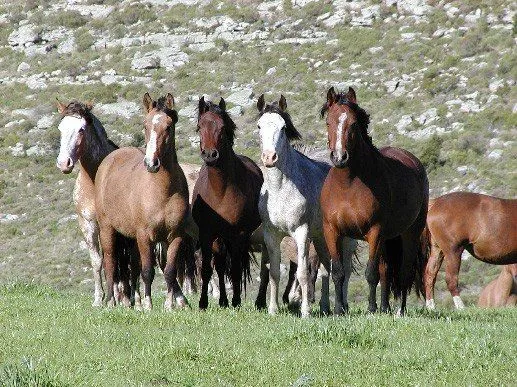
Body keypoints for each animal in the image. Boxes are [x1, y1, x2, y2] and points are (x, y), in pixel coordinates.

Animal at [94, 94, 191, 312]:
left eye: (169, 126)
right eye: (145, 125)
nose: (151, 163)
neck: (162, 191)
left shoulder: (175, 236)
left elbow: (169, 271)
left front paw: (168, 306)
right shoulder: (145, 236)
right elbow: (148, 271)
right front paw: (148, 305)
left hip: (131, 239)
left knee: (133, 268)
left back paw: (133, 303)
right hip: (107, 229)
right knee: (110, 263)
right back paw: (111, 301)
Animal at [256, 94, 356, 318]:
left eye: (283, 127)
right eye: (259, 126)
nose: (269, 157)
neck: (281, 190)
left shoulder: (301, 233)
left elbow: (302, 272)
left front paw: (305, 312)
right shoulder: (271, 234)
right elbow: (274, 271)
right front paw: (273, 310)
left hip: (344, 238)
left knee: (343, 270)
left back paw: (342, 307)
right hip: (321, 237)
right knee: (327, 270)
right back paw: (326, 307)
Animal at [318, 88, 428, 316]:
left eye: (353, 123)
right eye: (329, 122)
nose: (339, 157)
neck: (348, 185)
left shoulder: (374, 232)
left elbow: (371, 273)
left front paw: (370, 308)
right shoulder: (332, 231)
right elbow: (338, 272)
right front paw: (339, 310)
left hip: (410, 233)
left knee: (403, 272)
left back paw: (400, 310)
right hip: (387, 239)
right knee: (386, 270)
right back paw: (385, 307)